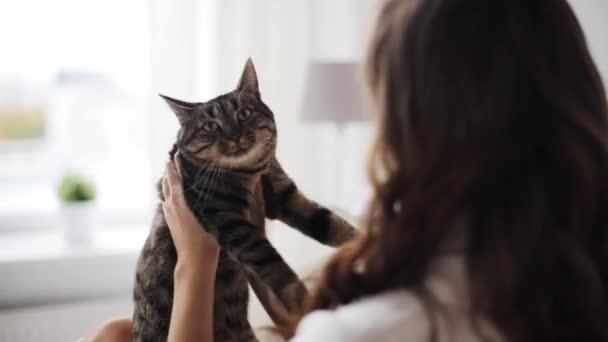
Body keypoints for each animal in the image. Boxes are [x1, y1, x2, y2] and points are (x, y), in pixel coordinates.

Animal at [131, 59, 354, 342]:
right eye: (210, 126)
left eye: (244, 113)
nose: (234, 135)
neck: (248, 173)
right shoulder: (226, 220)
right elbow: (273, 264)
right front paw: (303, 300)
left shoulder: (284, 195)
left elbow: (330, 223)